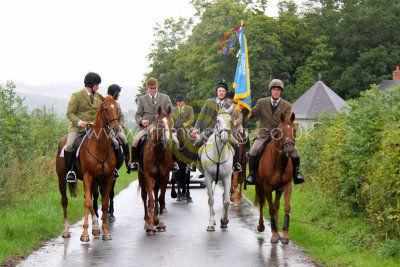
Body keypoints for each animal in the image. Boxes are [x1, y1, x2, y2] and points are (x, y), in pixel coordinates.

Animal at [55, 93, 119, 243]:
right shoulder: (87, 176)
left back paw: (95, 228)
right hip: (62, 178)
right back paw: (66, 231)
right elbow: (88, 202)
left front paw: (105, 232)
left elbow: (104, 203)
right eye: (106, 109)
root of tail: (62, 140)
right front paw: (84, 234)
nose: (116, 129)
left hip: (94, 180)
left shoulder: (107, 178)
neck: (100, 146)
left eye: (117, 108)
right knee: (65, 201)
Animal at [138, 105, 173, 236]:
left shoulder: (165, 176)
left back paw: (156, 217)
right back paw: (147, 221)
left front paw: (161, 223)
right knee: (144, 196)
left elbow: (161, 198)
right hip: (141, 176)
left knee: (156, 192)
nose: (167, 140)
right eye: (159, 123)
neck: (158, 151)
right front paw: (151, 226)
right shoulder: (148, 176)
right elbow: (151, 200)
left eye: (170, 122)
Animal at [256, 112, 296, 245]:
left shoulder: (287, 185)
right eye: (281, 132)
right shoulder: (267, 188)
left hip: (279, 189)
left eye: (294, 130)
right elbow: (271, 210)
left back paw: (278, 231)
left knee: (277, 205)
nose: (290, 150)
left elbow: (286, 207)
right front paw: (273, 234)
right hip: (259, 186)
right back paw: (261, 226)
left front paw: (284, 235)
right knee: (262, 203)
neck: (279, 162)